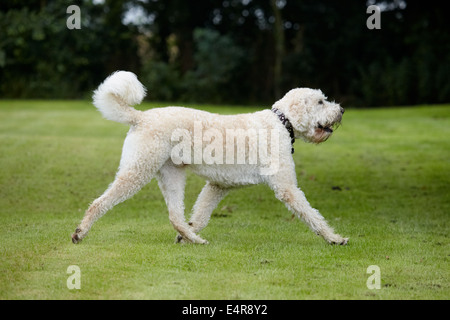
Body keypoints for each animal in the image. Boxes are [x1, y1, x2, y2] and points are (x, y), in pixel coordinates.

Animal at [73, 70, 348, 245]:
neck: (281, 122)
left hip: (171, 176)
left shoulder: (217, 186)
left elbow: (200, 215)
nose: (342, 110)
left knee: (176, 217)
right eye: (321, 102)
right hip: (138, 171)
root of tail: (140, 117)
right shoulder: (286, 188)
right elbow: (312, 215)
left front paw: (187, 235)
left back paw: (193, 239)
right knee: (99, 203)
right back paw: (79, 232)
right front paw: (335, 238)